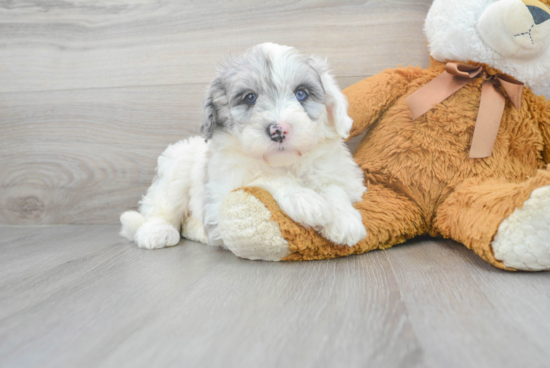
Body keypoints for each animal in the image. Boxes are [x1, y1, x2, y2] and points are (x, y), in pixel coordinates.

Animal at [122, 42, 370, 250]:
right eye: (250, 98)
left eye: (301, 94)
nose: (278, 130)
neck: (286, 163)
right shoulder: (221, 197)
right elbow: (264, 177)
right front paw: (305, 199)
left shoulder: (343, 177)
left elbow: (333, 187)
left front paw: (345, 219)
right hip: (177, 168)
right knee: (160, 208)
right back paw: (157, 232)